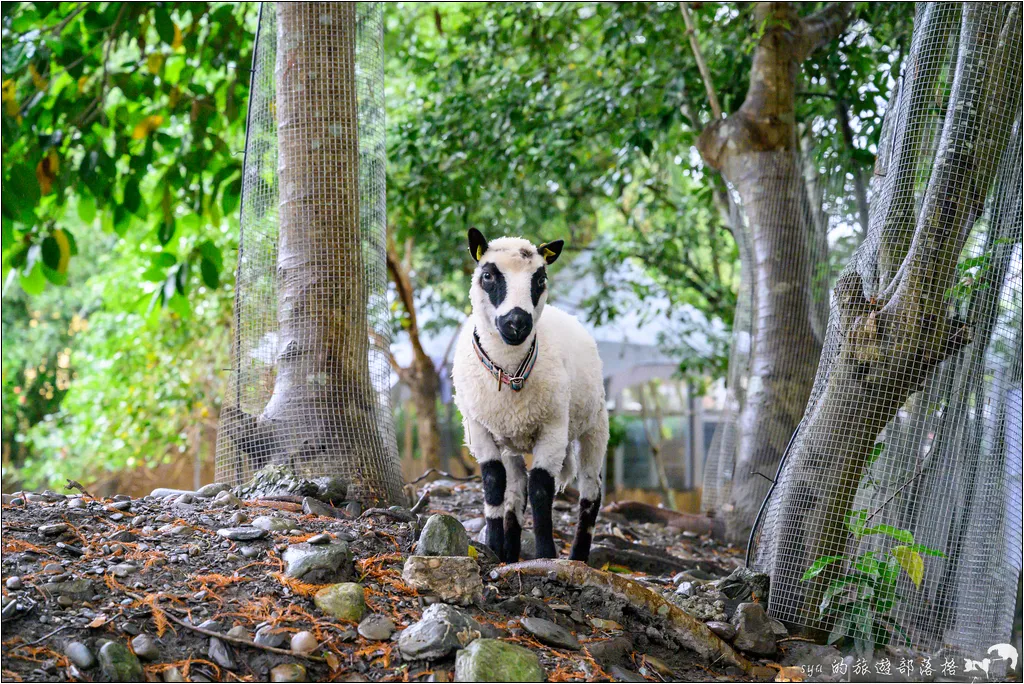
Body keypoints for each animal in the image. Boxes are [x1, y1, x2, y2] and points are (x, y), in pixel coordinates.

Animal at [450, 227, 606, 565]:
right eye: (488, 275)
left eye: (541, 278)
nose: (517, 323)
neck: (510, 373)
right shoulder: (477, 428)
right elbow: (494, 484)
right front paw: (494, 549)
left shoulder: (553, 428)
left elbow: (541, 490)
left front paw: (546, 555)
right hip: (509, 438)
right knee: (515, 490)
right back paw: (510, 551)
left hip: (595, 424)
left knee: (590, 490)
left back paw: (578, 556)